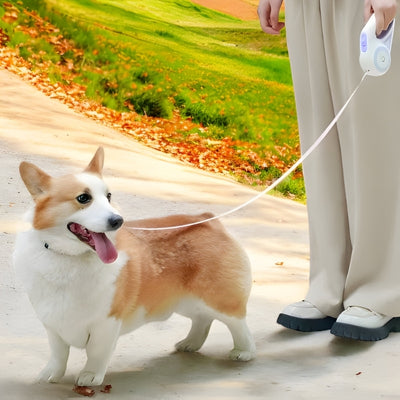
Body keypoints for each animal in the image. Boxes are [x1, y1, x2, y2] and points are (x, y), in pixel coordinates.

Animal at [14, 148, 256, 388]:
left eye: (109, 196)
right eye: (83, 198)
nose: (118, 220)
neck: (71, 258)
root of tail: (209, 220)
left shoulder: (106, 322)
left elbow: (96, 353)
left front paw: (90, 376)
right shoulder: (53, 324)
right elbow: (58, 353)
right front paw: (50, 375)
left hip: (218, 300)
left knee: (238, 324)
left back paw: (243, 352)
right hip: (184, 301)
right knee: (202, 319)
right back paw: (189, 343)